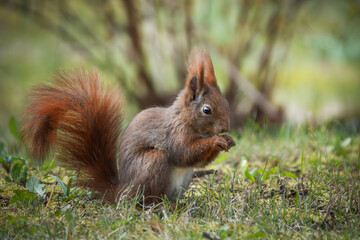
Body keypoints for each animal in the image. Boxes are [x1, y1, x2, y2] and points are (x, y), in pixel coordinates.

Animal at [21, 47, 236, 203]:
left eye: (226, 102)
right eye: (207, 110)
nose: (225, 128)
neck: (187, 120)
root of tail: (120, 191)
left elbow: (198, 162)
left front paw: (228, 140)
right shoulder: (175, 134)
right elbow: (183, 153)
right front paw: (216, 141)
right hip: (152, 163)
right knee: (146, 201)